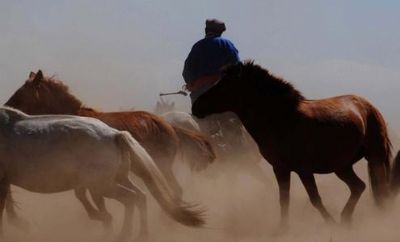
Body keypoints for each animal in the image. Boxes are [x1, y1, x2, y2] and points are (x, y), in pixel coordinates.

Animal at [4, 70, 214, 236]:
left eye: (21, 94)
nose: (6, 106)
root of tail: (169, 125)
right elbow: (85, 196)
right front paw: (100, 219)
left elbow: (89, 197)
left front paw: (101, 219)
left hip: (161, 165)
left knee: (173, 189)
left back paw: (166, 221)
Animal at [192, 60, 392, 227]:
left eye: (223, 85)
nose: (196, 107)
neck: (283, 120)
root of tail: (369, 107)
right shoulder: (280, 169)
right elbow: (284, 199)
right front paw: (282, 230)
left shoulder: (304, 169)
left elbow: (315, 198)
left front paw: (330, 223)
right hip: (342, 167)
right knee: (359, 187)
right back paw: (346, 220)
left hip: (374, 159)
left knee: (379, 190)